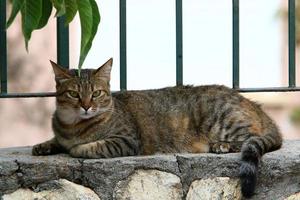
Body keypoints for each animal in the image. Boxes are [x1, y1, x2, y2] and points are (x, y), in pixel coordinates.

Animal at [32, 58, 282, 198]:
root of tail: (252, 103)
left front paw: (76, 148)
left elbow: (89, 147)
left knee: (250, 137)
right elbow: (56, 140)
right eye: (74, 94)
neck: (72, 125)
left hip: (224, 120)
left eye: (96, 93)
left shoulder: (126, 141)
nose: (86, 106)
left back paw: (222, 145)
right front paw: (45, 145)